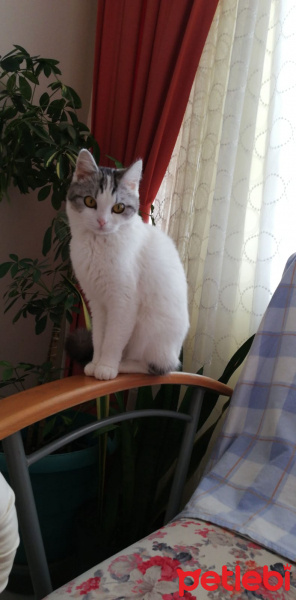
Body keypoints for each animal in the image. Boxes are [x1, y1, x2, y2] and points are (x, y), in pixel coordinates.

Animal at [65, 148, 188, 380]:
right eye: (90, 202)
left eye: (118, 208)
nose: (102, 221)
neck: (98, 245)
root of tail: (175, 353)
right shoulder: (97, 303)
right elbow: (99, 337)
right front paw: (95, 363)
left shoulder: (123, 302)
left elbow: (113, 339)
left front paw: (106, 366)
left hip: (150, 330)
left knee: (157, 367)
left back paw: (123, 365)